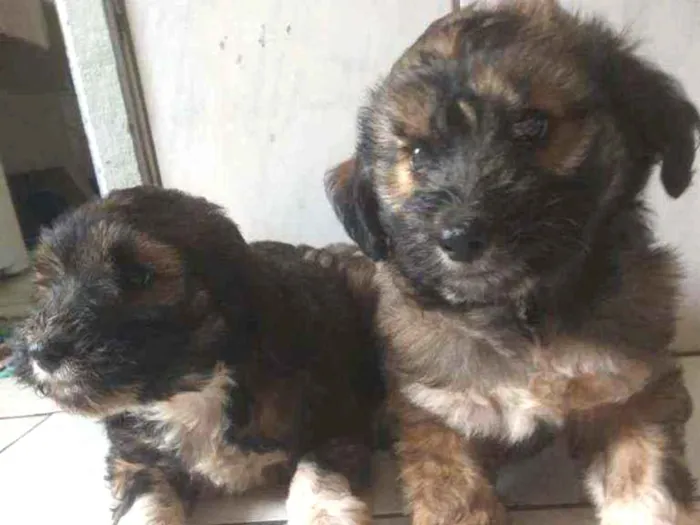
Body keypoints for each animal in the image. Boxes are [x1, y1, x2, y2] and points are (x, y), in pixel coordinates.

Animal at [10, 185, 382, 524]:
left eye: (139, 276)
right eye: (50, 282)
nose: (40, 351)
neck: (194, 390)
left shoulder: (338, 422)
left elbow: (315, 470)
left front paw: (324, 514)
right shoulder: (137, 458)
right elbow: (147, 498)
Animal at [324, 1, 700, 524]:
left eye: (533, 126)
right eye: (417, 154)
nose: (460, 238)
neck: (520, 317)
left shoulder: (631, 388)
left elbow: (648, 490)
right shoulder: (440, 417)